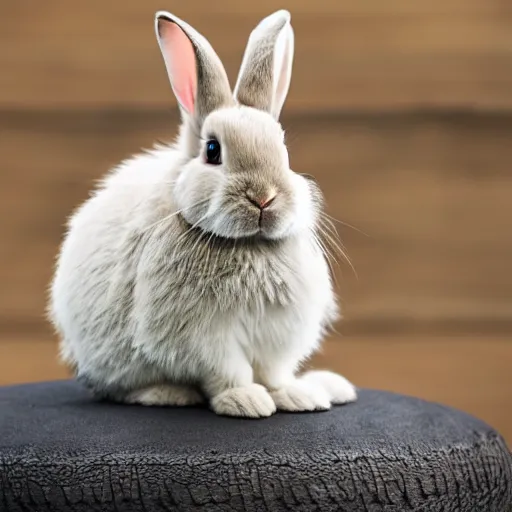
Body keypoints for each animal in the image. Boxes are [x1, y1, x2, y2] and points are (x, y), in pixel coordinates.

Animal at [50, 8, 358, 418]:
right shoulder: (205, 338)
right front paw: (246, 402)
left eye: (283, 150)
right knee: (122, 389)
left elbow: (274, 374)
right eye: (213, 151)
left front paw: (295, 397)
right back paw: (167, 393)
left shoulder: (276, 336)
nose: (264, 197)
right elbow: (228, 372)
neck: (249, 244)